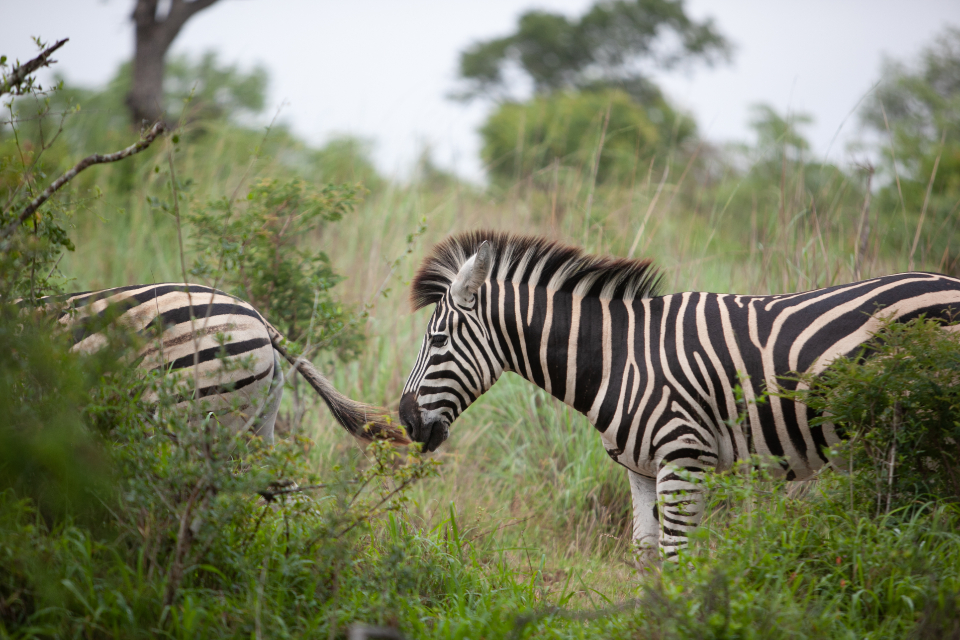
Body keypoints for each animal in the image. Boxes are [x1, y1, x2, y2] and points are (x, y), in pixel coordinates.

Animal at [398, 230, 960, 560]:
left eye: (438, 340)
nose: (405, 421)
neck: (620, 358)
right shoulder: (641, 469)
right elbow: (646, 556)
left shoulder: (685, 459)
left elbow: (677, 558)